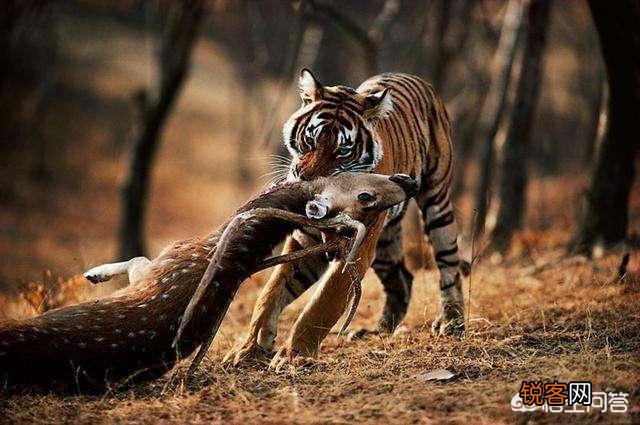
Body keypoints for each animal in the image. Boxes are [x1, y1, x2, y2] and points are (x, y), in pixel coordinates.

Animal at [224, 69, 465, 367]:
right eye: (310, 140)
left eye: (342, 151)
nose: (308, 181)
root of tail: (417, 79)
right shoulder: (305, 240)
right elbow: (271, 292)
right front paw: (249, 349)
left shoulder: (356, 248)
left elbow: (324, 302)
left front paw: (293, 356)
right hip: (384, 243)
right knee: (402, 278)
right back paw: (379, 330)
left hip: (436, 202)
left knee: (449, 264)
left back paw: (451, 321)